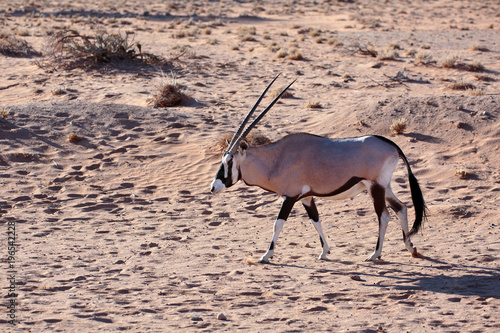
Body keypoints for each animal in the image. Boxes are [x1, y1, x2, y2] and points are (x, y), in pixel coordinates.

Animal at [210, 74, 426, 262]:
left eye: (229, 162)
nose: (213, 187)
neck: (277, 159)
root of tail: (392, 145)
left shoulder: (290, 197)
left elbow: (277, 224)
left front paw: (266, 256)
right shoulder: (306, 198)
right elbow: (316, 221)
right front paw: (324, 252)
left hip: (376, 187)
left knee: (384, 216)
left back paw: (375, 254)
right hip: (384, 186)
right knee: (401, 208)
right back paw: (410, 247)